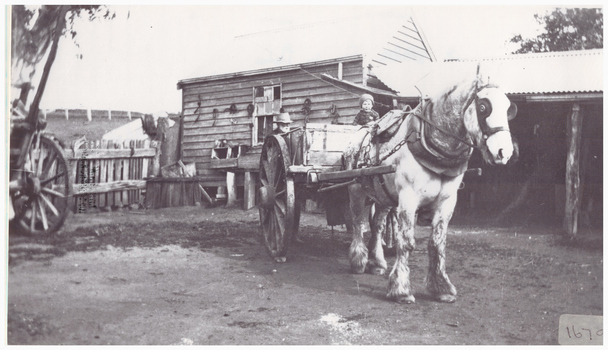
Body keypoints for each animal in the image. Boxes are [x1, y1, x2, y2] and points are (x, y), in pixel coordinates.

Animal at [342, 67, 516, 304]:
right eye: (483, 107)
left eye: (508, 107)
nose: (504, 152)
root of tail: (358, 135)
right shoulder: (408, 199)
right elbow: (406, 242)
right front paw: (401, 290)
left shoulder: (447, 201)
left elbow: (437, 242)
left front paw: (441, 287)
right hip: (356, 190)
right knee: (358, 223)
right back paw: (358, 261)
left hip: (384, 194)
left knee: (377, 225)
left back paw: (377, 263)